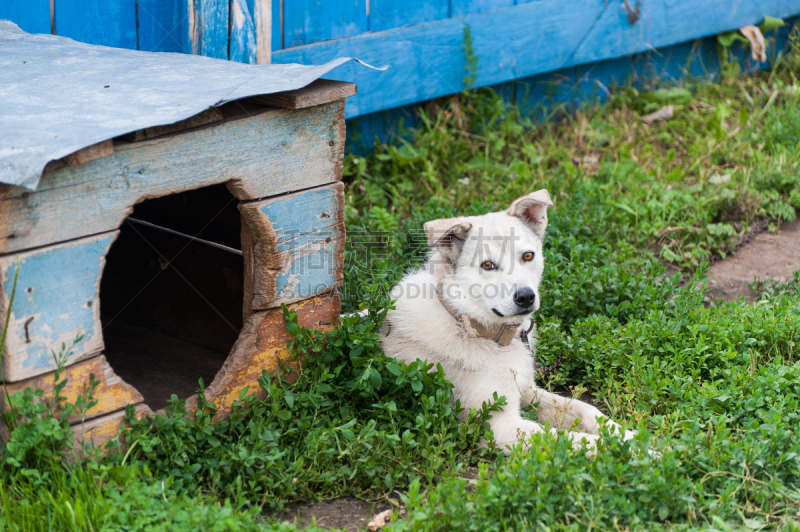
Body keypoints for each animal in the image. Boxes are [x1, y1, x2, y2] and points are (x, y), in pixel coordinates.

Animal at [378, 189, 636, 456]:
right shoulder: (499, 426)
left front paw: (629, 434)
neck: (468, 323)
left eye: (528, 256)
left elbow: (587, 410)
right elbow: (575, 439)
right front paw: (638, 450)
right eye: (487, 265)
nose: (526, 297)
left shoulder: (527, 390)